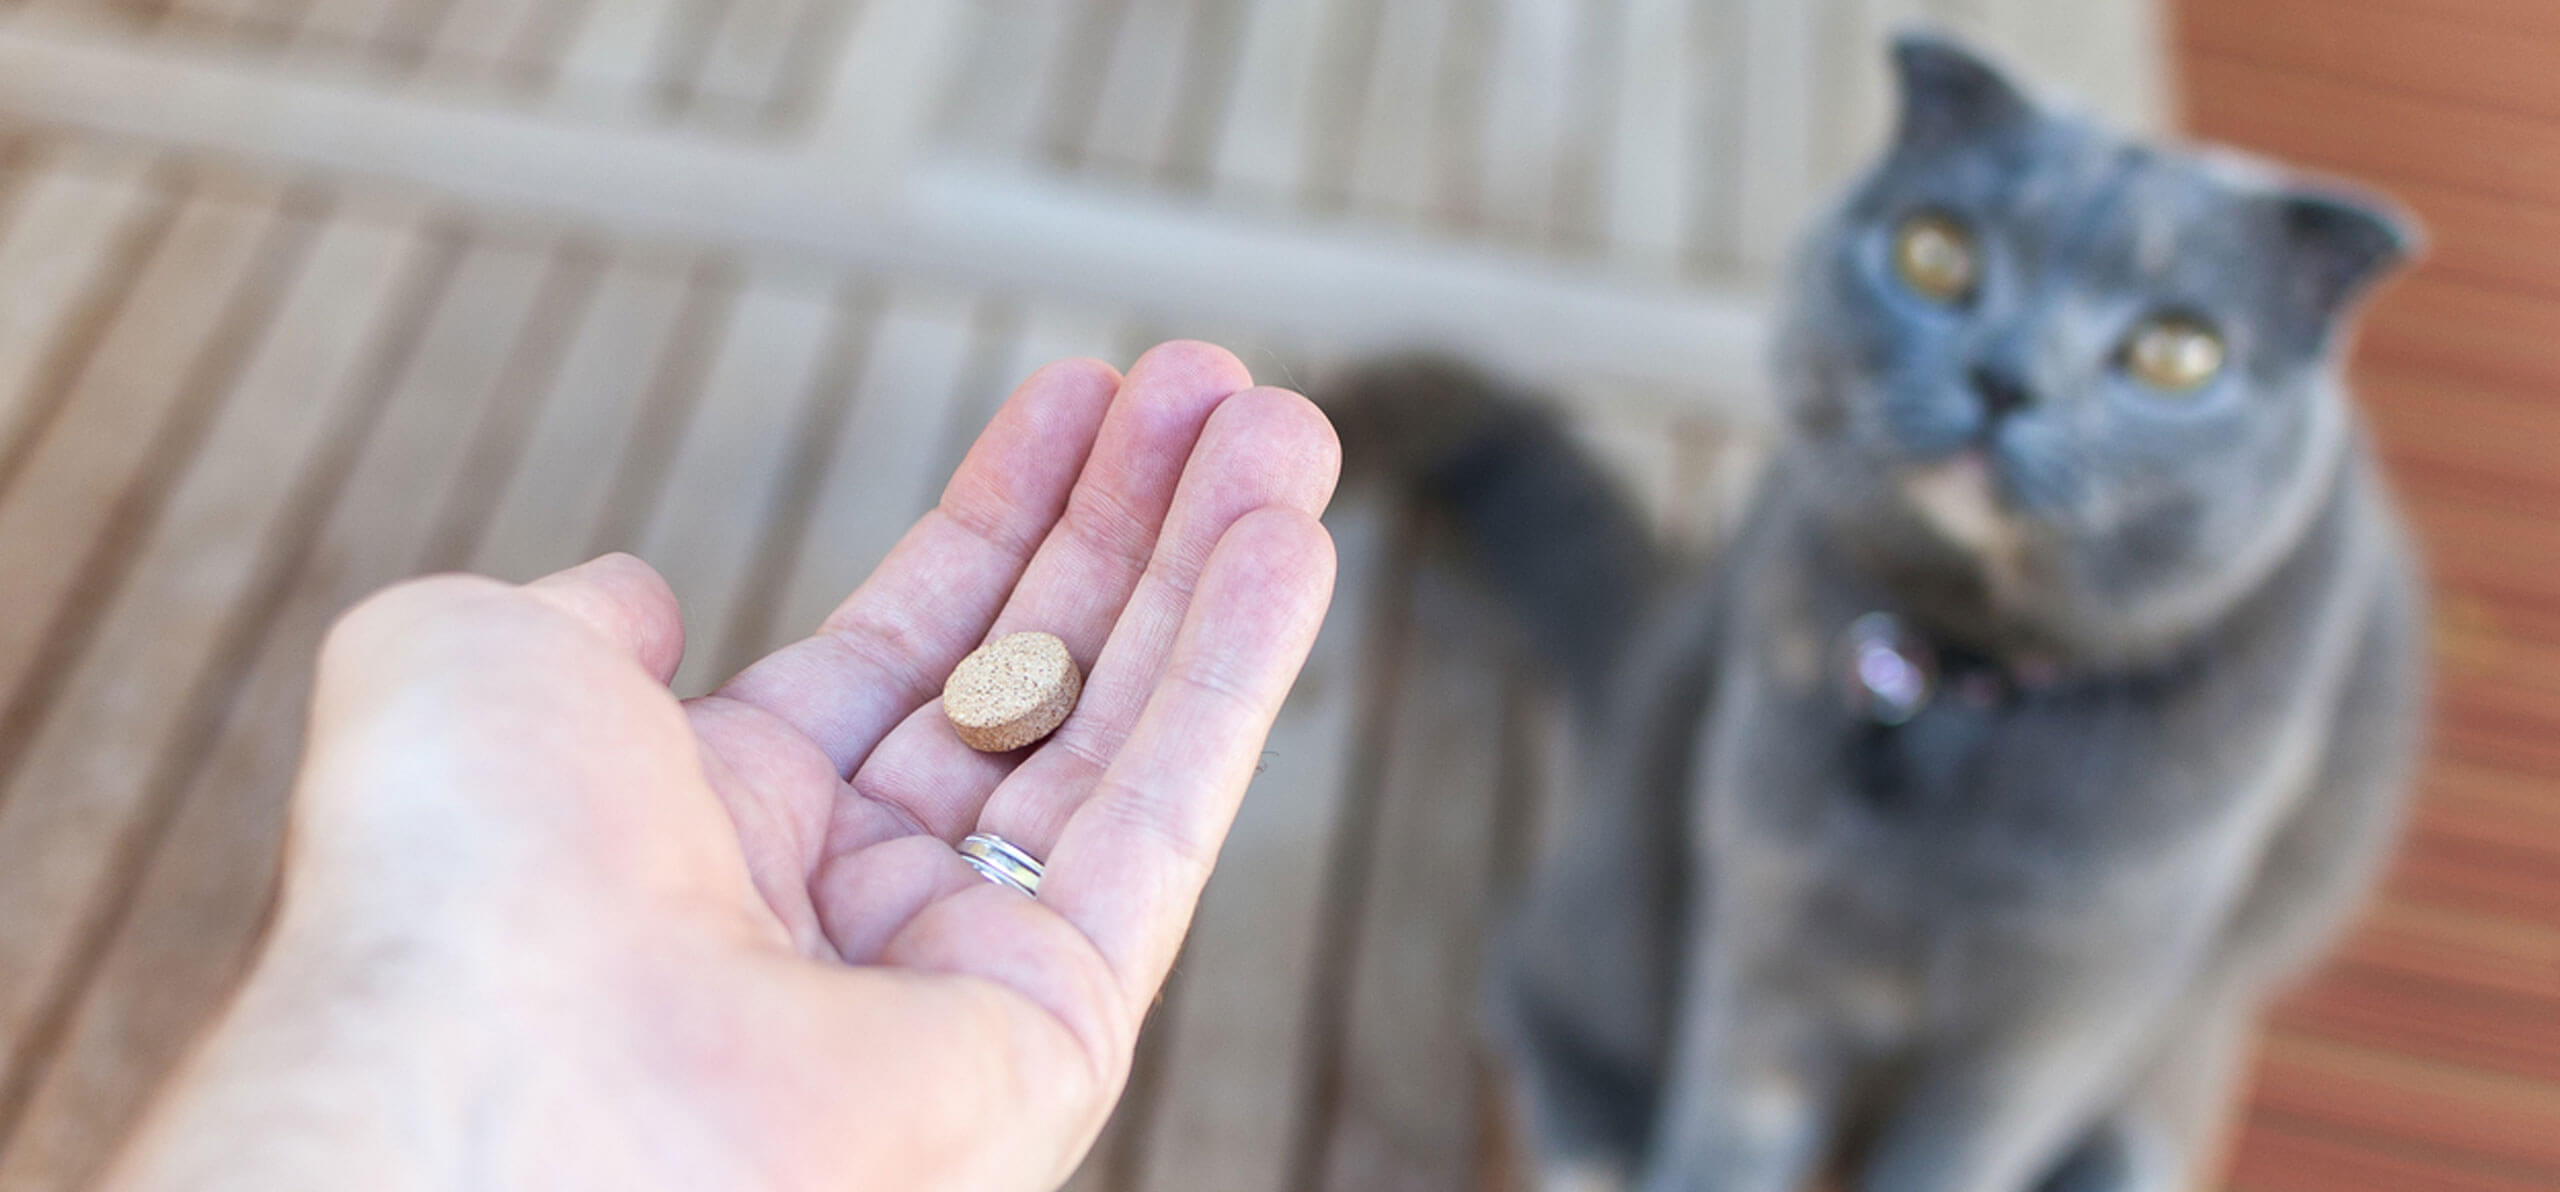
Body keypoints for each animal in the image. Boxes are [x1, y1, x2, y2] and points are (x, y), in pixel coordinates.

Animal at [1331, 30, 2426, 1192]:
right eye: (1934, 253)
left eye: (2177, 352)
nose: (2004, 378)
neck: (1968, 675)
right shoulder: (1766, 933)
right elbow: (1726, 1138)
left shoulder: (2051, 1029)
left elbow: (1955, 1158)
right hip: (1636, 844)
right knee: (1538, 975)